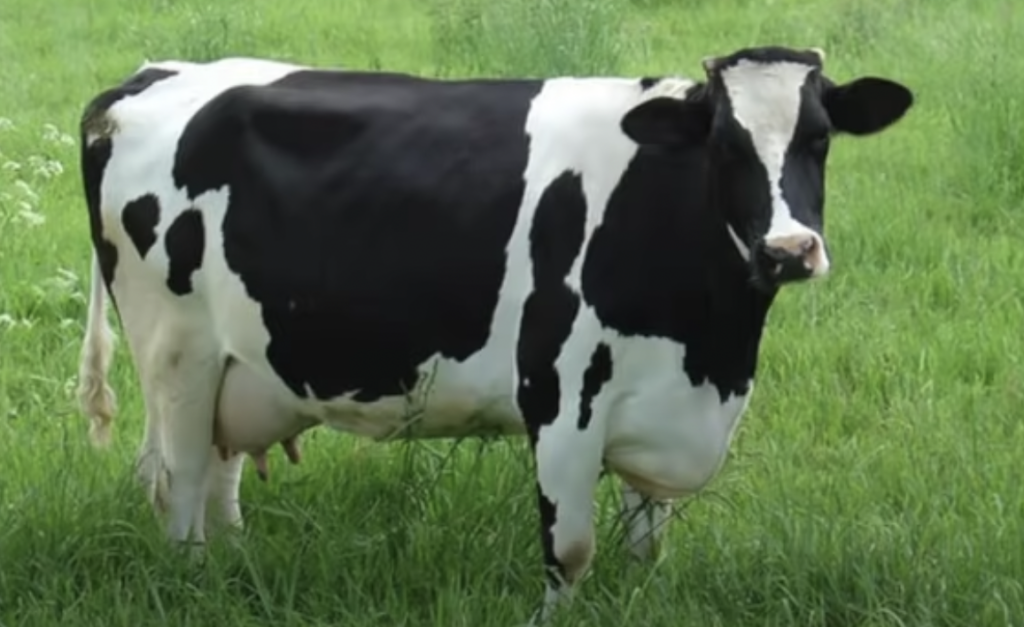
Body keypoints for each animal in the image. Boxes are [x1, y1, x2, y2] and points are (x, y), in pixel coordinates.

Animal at [77, 47, 913, 622]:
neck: (713, 353)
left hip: (238, 365)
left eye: (820, 139)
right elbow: (570, 551)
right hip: (176, 355)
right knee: (178, 485)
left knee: (218, 479)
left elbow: (647, 546)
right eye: (726, 143)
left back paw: (237, 572)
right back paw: (197, 583)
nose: (789, 249)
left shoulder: (662, 402)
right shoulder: (564, 395)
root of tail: (150, 76)